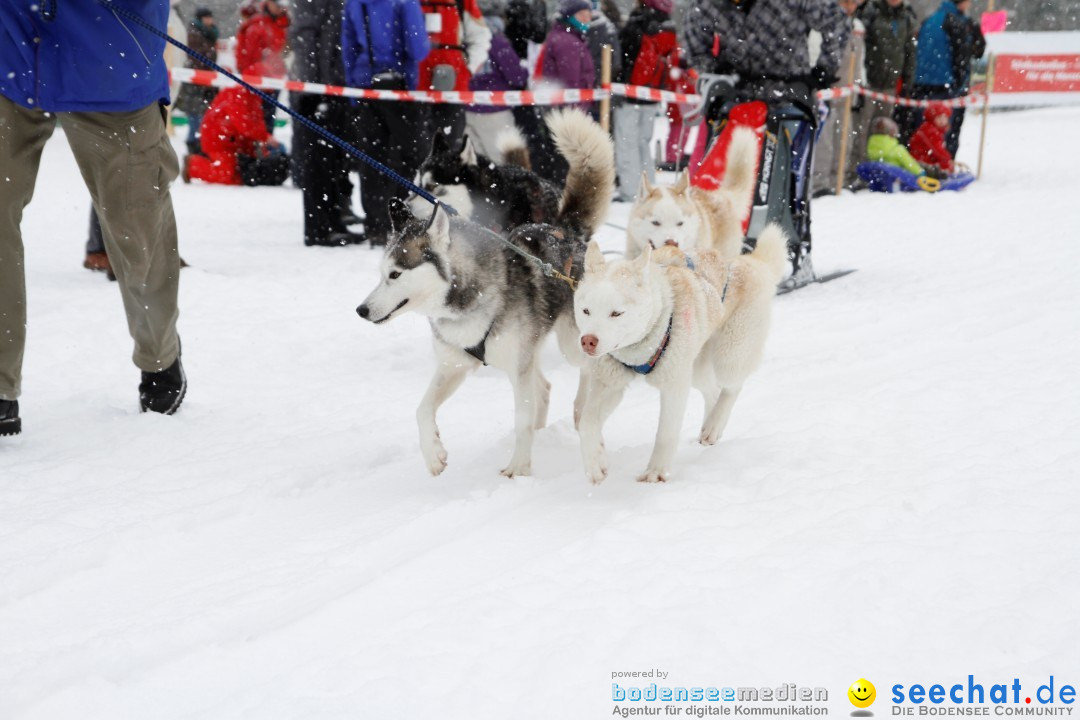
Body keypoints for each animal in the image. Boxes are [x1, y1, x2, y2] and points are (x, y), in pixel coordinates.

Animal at [574, 221, 786, 483]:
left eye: (616, 313)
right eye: (586, 310)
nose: (588, 341)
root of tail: (750, 262)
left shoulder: (674, 386)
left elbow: (665, 433)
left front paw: (655, 472)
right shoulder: (609, 384)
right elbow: (586, 423)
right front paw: (596, 463)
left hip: (729, 355)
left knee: (731, 388)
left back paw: (715, 424)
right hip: (695, 369)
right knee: (713, 391)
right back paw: (709, 427)